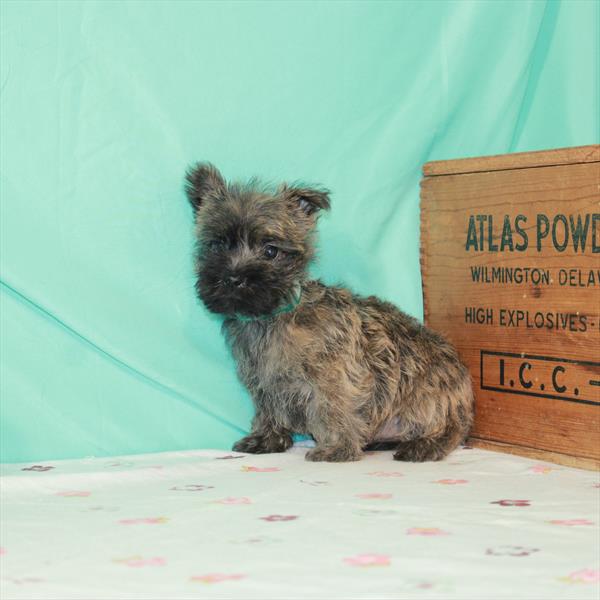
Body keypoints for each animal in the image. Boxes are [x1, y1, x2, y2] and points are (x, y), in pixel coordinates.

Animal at [185, 164, 476, 464]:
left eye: (271, 250)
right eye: (217, 245)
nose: (233, 278)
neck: (274, 316)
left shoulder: (334, 375)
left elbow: (333, 408)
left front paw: (337, 448)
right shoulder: (264, 382)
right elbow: (268, 411)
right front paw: (265, 439)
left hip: (429, 398)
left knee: (450, 430)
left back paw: (425, 444)